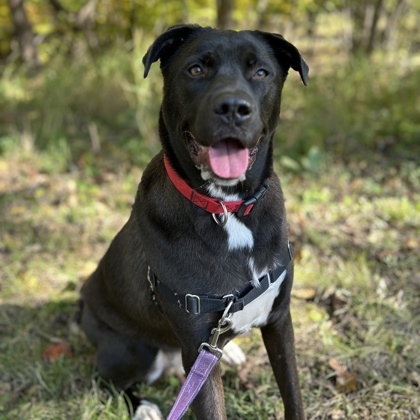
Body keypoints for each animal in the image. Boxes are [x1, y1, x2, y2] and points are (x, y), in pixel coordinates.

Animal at [79, 24, 308, 418]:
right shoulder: (196, 347)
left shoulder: (280, 320)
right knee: (106, 379)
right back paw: (144, 406)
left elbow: (293, 394)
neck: (228, 208)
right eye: (196, 69)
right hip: (133, 350)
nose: (232, 108)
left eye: (261, 72)